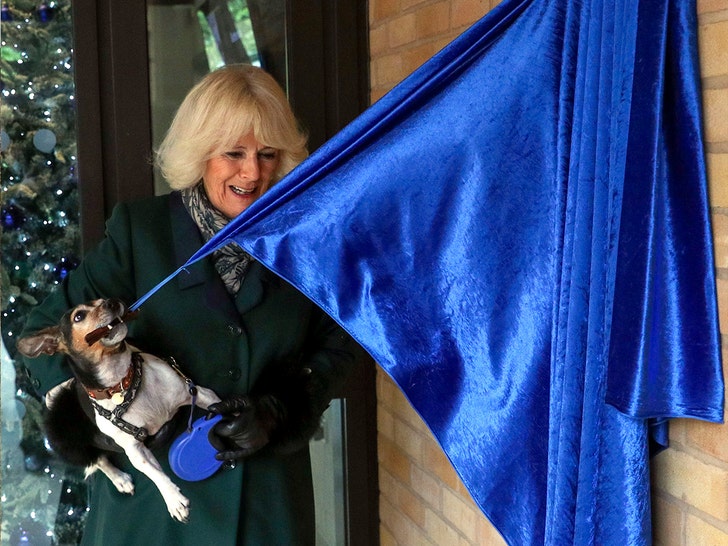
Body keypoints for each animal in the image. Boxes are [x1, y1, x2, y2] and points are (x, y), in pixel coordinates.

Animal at [16, 298, 219, 524]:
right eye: (79, 316)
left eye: (101, 300)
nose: (112, 302)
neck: (123, 383)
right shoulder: (135, 450)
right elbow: (156, 475)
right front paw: (173, 499)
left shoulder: (198, 393)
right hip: (68, 441)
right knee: (98, 460)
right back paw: (120, 479)